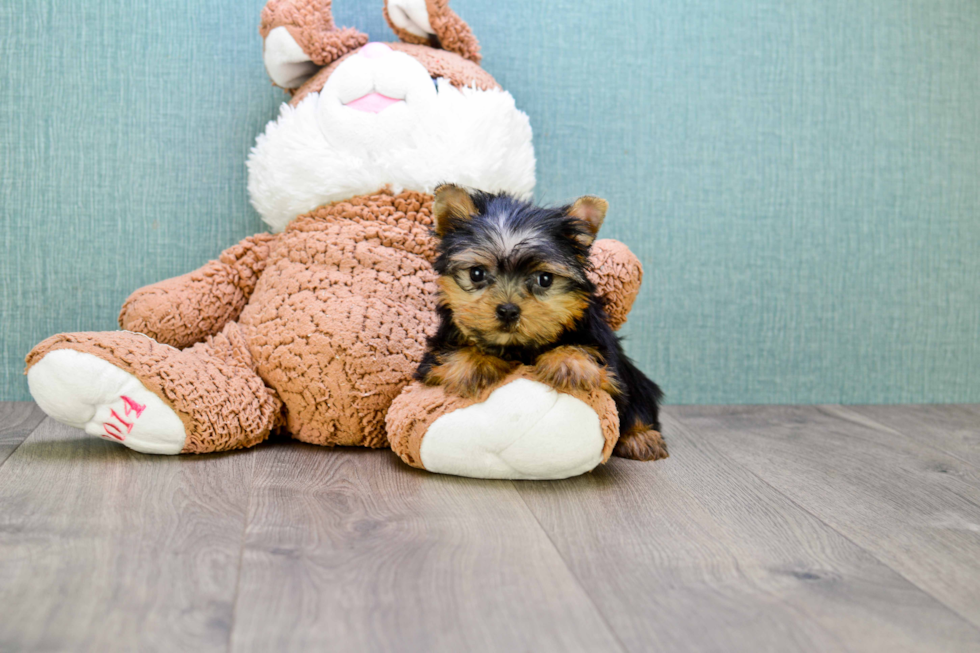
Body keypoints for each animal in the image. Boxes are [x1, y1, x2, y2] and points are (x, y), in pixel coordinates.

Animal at [414, 182, 668, 458]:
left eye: (544, 279)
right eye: (477, 274)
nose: (508, 310)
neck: (518, 348)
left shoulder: (604, 351)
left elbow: (593, 355)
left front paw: (568, 362)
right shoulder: (435, 354)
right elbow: (450, 353)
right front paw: (474, 363)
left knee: (639, 400)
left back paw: (640, 437)